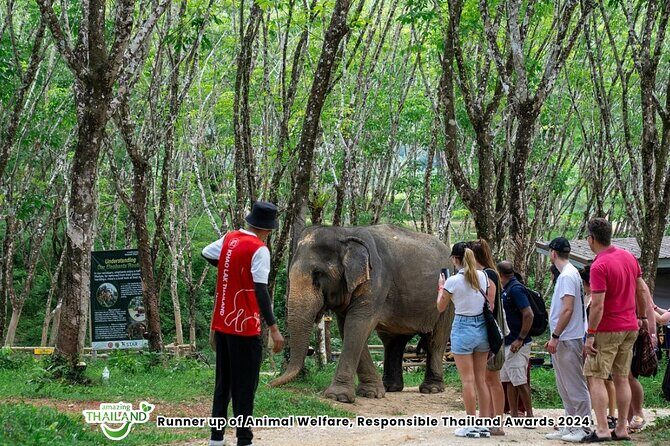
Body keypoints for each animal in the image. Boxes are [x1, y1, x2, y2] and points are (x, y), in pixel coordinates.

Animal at [269, 224, 455, 403]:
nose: (269, 384)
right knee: (393, 342)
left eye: (318, 274)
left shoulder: (376, 278)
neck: (344, 232)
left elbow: (358, 324)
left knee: (435, 340)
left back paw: (432, 389)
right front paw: (370, 393)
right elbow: (348, 327)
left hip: (447, 300)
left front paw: (338, 397)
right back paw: (390, 387)